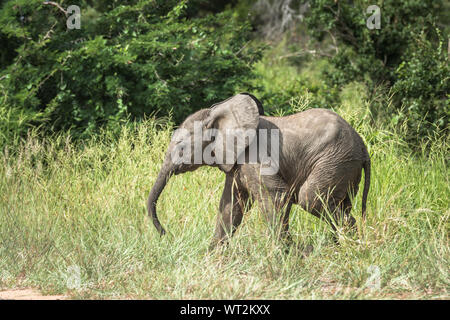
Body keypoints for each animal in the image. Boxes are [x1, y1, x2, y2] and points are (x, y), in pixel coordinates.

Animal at [146, 92, 370, 248]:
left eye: (180, 146)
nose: (168, 235)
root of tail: (362, 145)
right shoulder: (236, 162)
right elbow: (231, 205)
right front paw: (211, 254)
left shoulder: (254, 156)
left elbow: (275, 197)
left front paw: (284, 252)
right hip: (343, 165)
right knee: (341, 204)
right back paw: (344, 246)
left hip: (334, 160)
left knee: (311, 198)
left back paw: (350, 246)